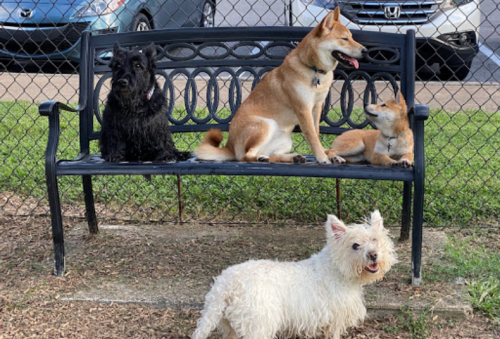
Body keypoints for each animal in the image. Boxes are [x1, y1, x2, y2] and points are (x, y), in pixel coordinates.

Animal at [192, 211, 398, 338]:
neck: (337, 269)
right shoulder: (335, 318)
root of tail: (224, 285)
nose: (373, 255)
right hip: (259, 324)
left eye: (375, 240)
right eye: (355, 245)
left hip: (230, 325)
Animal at [196, 8, 368, 165]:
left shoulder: (316, 108)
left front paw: (329, 155)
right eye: (344, 39)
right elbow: (312, 136)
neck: (313, 69)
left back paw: (291, 157)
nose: (365, 50)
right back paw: (260, 158)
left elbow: (316, 133)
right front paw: (322, 157)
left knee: (273, 155)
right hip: (266, 124)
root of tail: (229, 146)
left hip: (285, 140)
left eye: (351, 37)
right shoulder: (303, 109)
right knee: (246, 156)